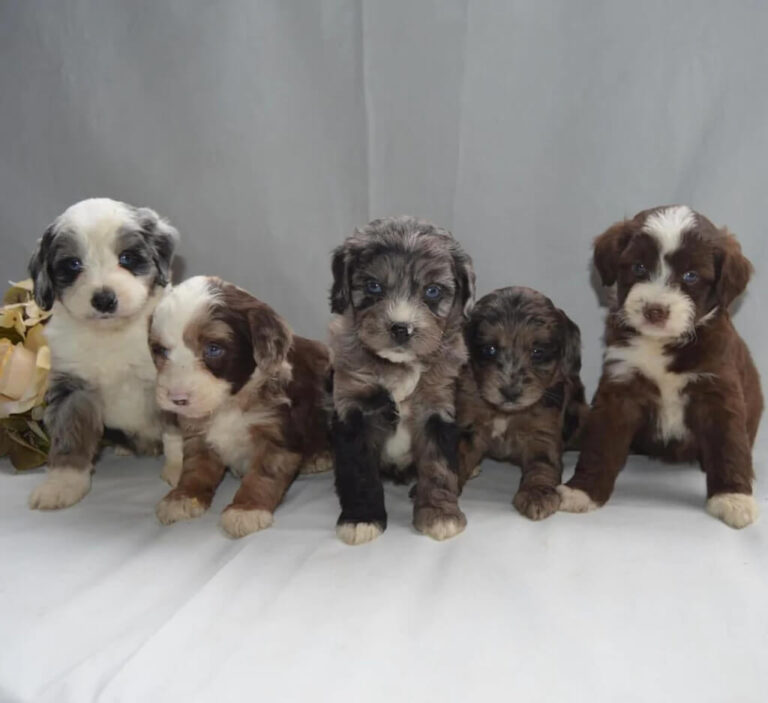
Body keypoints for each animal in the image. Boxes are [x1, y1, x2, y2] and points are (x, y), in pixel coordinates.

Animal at [24, 198, 181, 512]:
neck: (111, 335)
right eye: (73, 264)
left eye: (127, 257)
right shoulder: (72, 388)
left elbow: (178, 433)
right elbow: (69, 436)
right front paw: (62, 485)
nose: (105, 300)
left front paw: (182, 470)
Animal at [148, 276, 332, 540]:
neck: (229, 404)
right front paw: (183, 497)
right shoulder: (198, 435)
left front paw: (246, 510)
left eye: (213, 349)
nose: (177, 398)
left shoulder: (276, 433)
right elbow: (195, 468)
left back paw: (318, 457)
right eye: (161, 351)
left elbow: (263, 475)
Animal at [328, 217, 474, 548]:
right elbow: (360, 472)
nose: (400, 328)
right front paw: (361, 519)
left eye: (432, 291)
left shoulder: (437, 408)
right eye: (374, 286)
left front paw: (440, 515)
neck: (399, 365)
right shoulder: (354, 407)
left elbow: (439, 468)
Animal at [456, 288, 588, 524]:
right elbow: (457, 458)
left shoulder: (543, 435)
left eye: (538, 352)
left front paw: (537, 495)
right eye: (489, 349)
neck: (506, 413)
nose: (510, 392)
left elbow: (542, 467)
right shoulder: (468, 427)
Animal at [560, 204, 760, 528]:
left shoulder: (717, 389)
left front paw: (733, 498)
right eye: (639, 267)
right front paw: (582, 491)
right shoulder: (621, 386)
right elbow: (600, 444)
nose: (655, 311)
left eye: (691, 275)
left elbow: (728, 445)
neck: (663, 344)